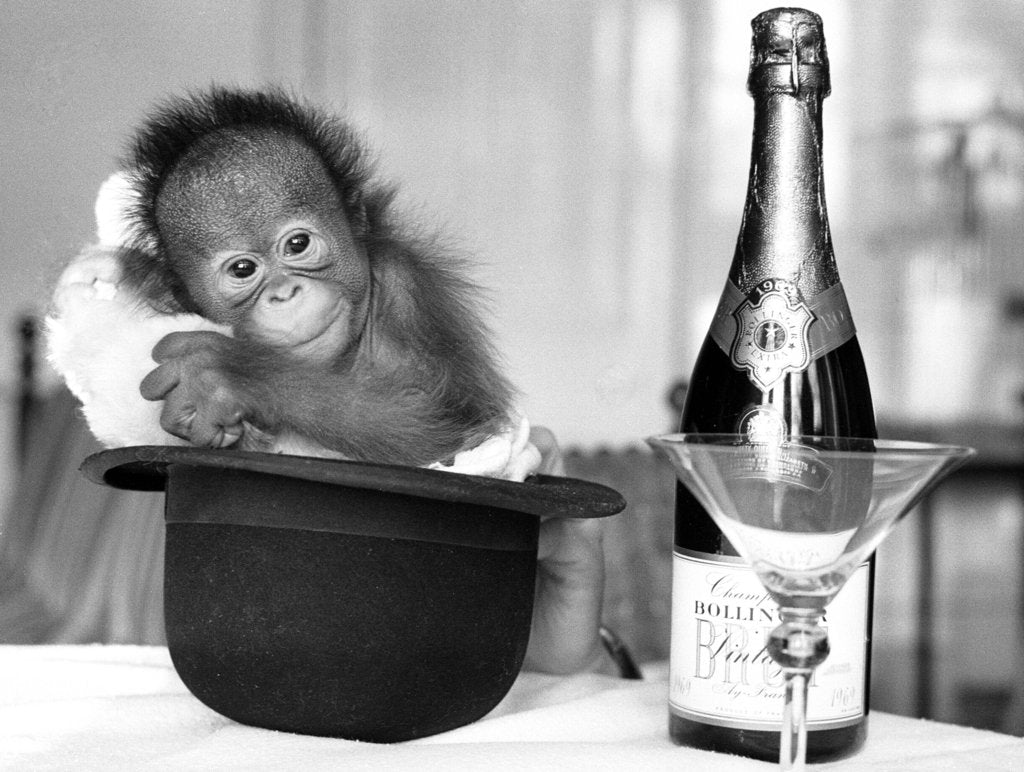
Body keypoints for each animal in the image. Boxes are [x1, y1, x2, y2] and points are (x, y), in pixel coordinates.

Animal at [107, 87, 515, 467]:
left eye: (298, 244)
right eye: (243, 269)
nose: (285, 293)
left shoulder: (404, 288)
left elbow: (439, 423)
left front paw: (234, 373)